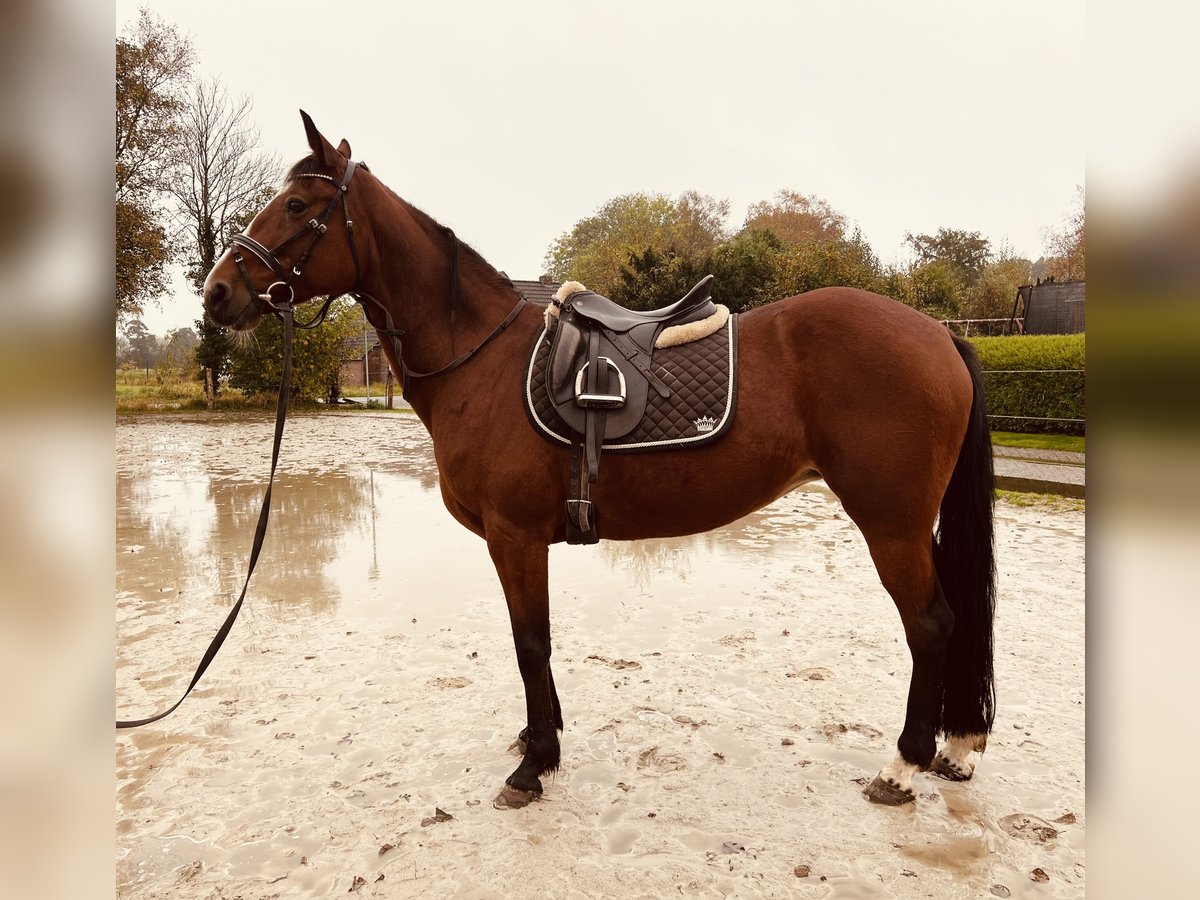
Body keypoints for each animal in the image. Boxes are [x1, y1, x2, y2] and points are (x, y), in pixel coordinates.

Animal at [204, 111, 993, 811]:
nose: (218, 293)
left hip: (890, 523)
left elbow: (531, 642)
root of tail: (938, 334)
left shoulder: (515, 536)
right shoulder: (521, 541)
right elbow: (534, 644)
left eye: (296, 205)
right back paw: (955, 748)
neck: (480, 358)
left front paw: (535, 767)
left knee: (930, 625)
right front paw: (537, 739)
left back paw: (903, 766)